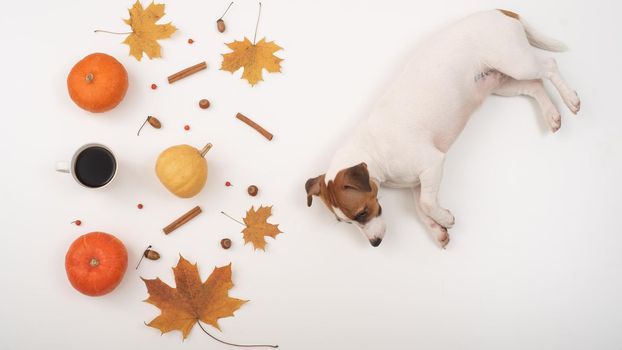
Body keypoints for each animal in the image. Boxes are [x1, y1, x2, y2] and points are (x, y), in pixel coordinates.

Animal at [306, 9, 580, 247]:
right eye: (345, 222)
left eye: (362, 213)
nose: (375, 244)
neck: (373, 151)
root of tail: (499, 11)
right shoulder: (417, 183)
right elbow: (420, 207)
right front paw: (437, 229)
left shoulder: (433, 164)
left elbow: (427, 204)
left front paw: (445, 218)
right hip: (502, 82)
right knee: (535, 86)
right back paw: (552, 115)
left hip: (516, 63)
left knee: (550, 65)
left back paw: (571, 99)